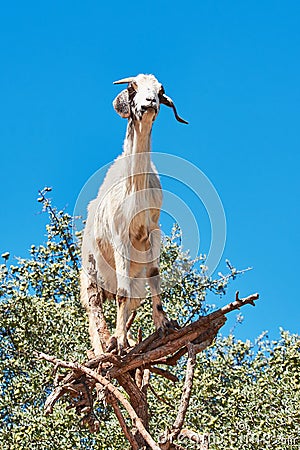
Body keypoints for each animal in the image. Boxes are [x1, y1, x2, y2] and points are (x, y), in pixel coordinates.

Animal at [79, 74, 188, 356]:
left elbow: (154, 276)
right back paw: (104, 348)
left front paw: (163, 324)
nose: (149, 102)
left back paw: (127, 340)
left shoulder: (152, 232)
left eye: (159, 91)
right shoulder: (120, 235)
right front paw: (117, 343)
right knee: (94, 311)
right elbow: (121, 292)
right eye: (132, 88)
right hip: (90, 274)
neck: (134, 186)